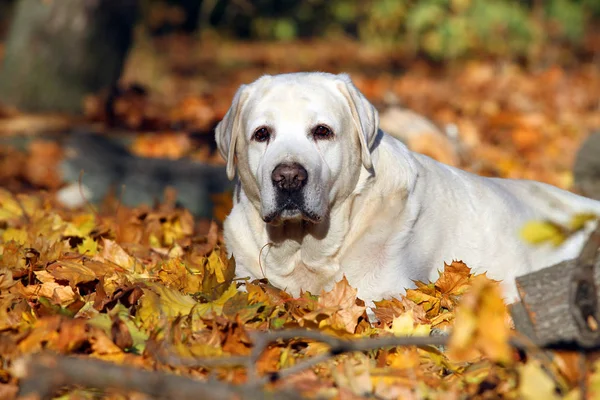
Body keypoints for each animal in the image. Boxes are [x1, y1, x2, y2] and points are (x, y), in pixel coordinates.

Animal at [216, 72, 600, 304]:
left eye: (322, 131)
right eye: (261, 134)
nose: (288, 177)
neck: (304, 250)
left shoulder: (380, 293)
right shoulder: (244, 276)